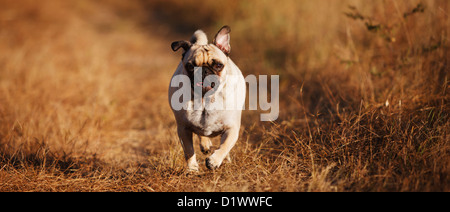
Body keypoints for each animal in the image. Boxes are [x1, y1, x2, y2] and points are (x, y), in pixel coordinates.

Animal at [169, 25, 246, 171]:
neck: (205, 100)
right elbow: (189, 150)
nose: (204, 70)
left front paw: (214, 161)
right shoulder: (183, 129)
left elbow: (225, 146)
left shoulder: (232, 128)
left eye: (218, 65)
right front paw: (192, 168)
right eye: (190, 66)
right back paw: (205, 145)